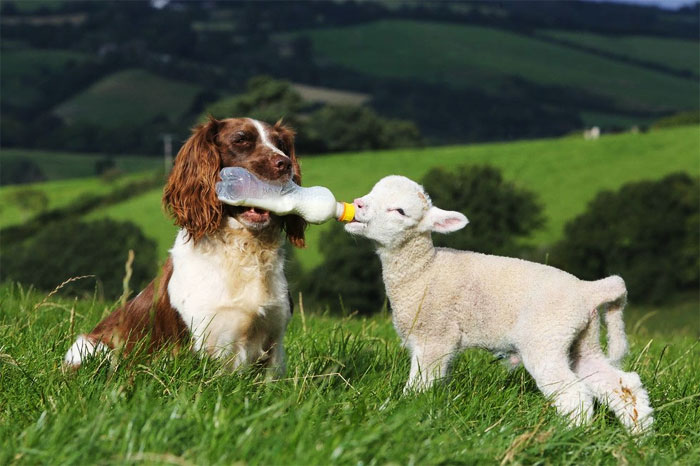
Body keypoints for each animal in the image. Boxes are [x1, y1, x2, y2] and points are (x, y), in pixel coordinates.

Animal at [64, 117, 304, 374]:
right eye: (241, 139)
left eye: (280, 144)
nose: (285, 164)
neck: (244, 250)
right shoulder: (203, 342)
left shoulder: (274, 342)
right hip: (92, 347)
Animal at [348, 174, 652, 434]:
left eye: (399, 211)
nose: (358, 204)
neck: (424, 270)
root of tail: (588, 290)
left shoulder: (435, 337)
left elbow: (420, 384)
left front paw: (402, 412)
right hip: (583, 341)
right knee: (623, 385)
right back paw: (640, 436)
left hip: (546, 338)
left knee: (574, 394)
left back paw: (569, 434)